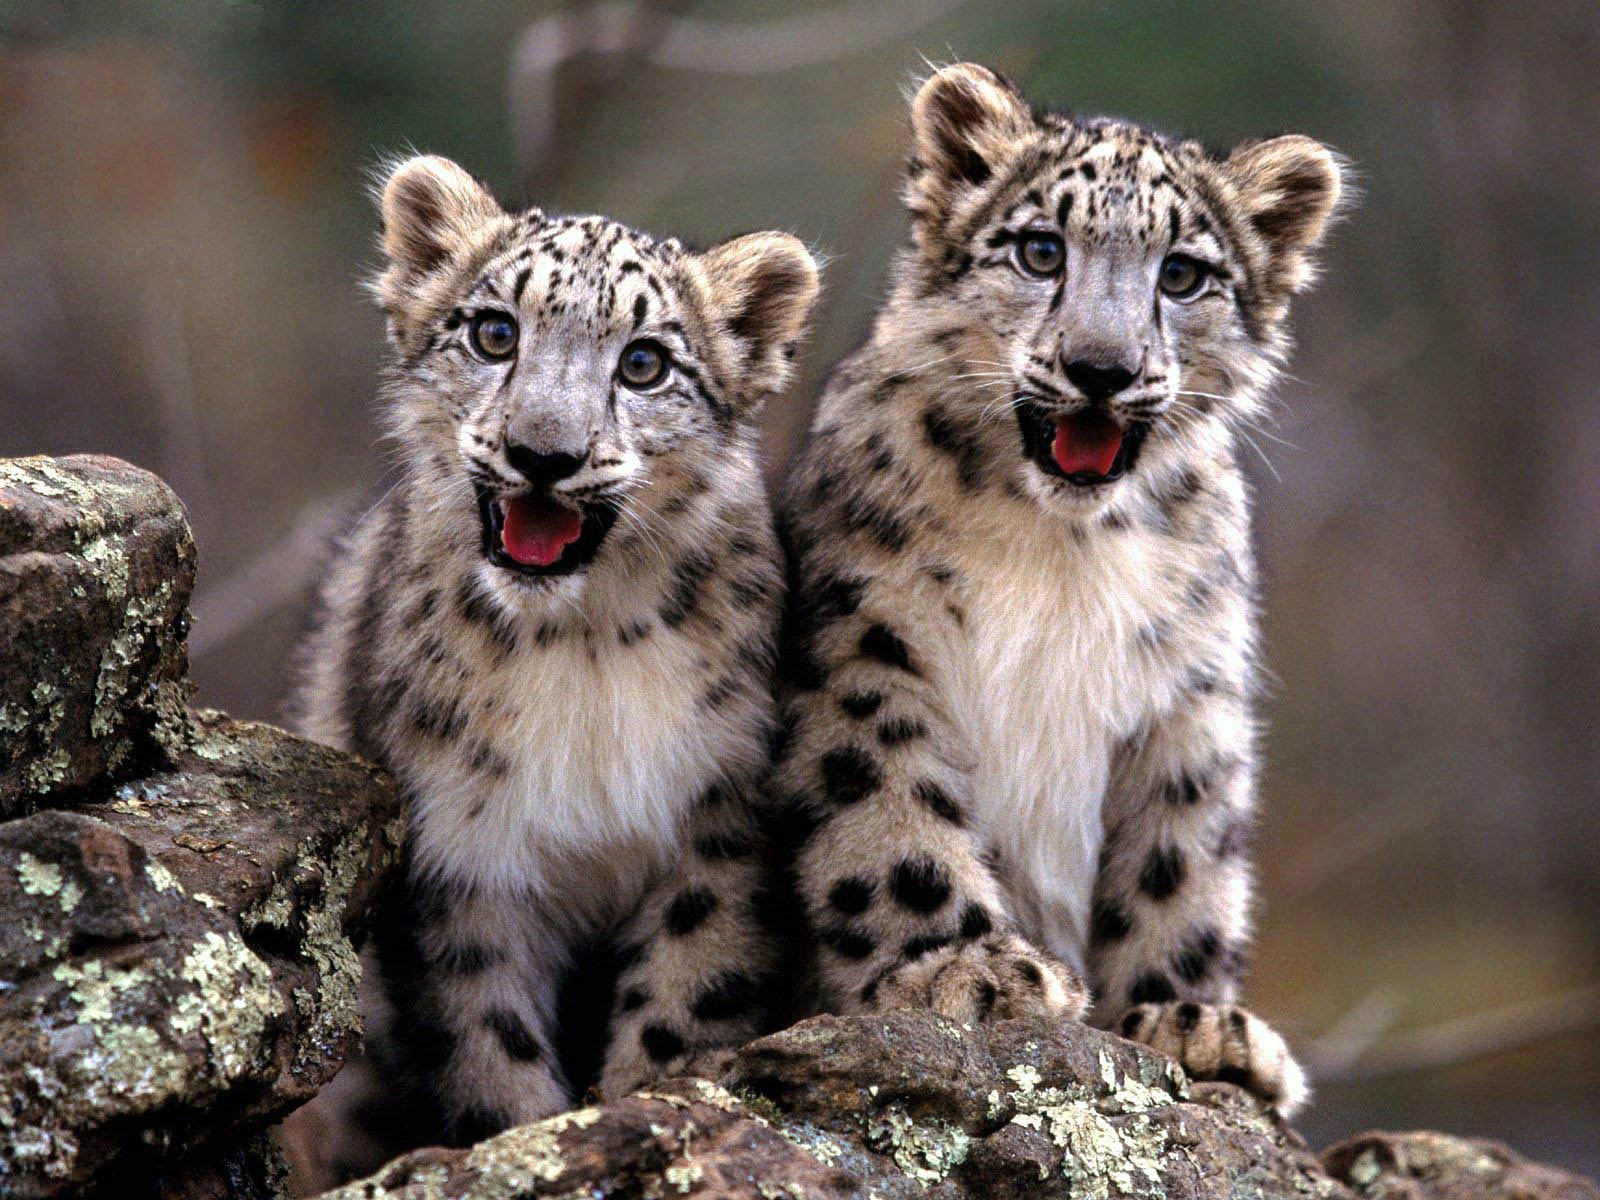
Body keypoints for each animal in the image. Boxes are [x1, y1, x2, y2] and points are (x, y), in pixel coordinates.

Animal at [280, 153, 819, 1183]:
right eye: (495, 332)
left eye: (644, 362)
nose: (543, 454)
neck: (581, 651)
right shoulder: (460, 854)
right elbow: (487, 1043)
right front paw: (526, 1143)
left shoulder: (716, 823)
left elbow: (684, 999)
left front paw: (643, 1107)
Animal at [773, 63, 1349, 1116]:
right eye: (1041, 249)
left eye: (1182, 274)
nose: (1101, 368)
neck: (1062, 550)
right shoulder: (863, 641)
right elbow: (887, 806)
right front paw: (963, 968)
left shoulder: (1189, 691)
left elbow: (1180, 858)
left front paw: (1189, 1020)